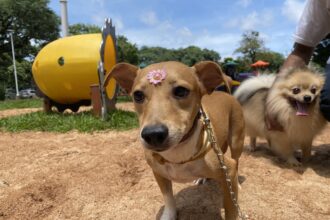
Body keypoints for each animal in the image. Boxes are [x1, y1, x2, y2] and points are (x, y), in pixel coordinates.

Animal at [105, 61, 245, 219]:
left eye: (181, 91)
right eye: (138, 95)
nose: (153, 134)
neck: (177, 152)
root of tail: (225, 93)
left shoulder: (228, 169)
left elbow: (231, 209)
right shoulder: (158, 173)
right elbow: (168, 198)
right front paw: (169, 215)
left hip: (236, 141)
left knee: (236, 160)